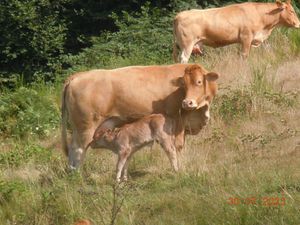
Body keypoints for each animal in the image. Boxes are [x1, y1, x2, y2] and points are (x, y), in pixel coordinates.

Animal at [61, 63, 218, 169]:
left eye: (199, 82)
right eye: (183, 85)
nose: (187, 102)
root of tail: (78, 76)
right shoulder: (177, 119)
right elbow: (178, 146)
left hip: (77, 128)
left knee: (73, 150)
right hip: (86, 127)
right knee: (79, 150)